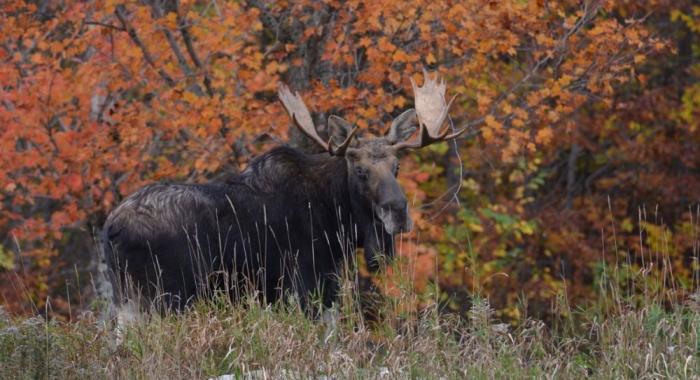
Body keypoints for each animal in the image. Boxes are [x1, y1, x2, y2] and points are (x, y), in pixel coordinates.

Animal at [101, 70, 462, 314]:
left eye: (397, 167)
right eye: (360, 171)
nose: (398, 212)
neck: (340, 221)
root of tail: (110, 230)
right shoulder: (308, 280)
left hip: (128, 300)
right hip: (166, 296)